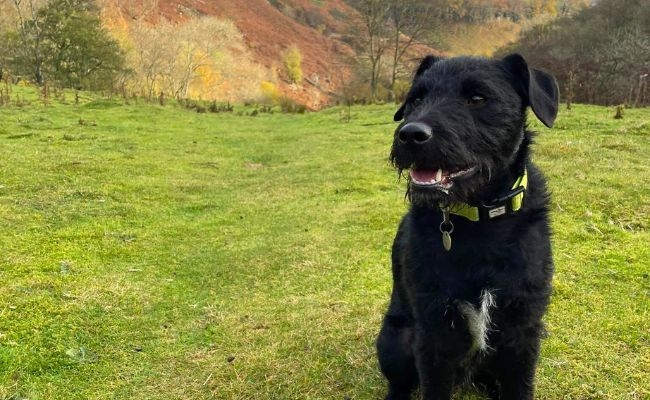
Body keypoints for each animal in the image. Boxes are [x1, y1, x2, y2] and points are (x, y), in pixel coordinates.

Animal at [374, 54, 556, 400]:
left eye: (477, 98)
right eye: (415, 99)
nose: (410, 135)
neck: (478, 223)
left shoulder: (523, 333)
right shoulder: (434, 338)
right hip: (395, 339)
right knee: (399, 384)